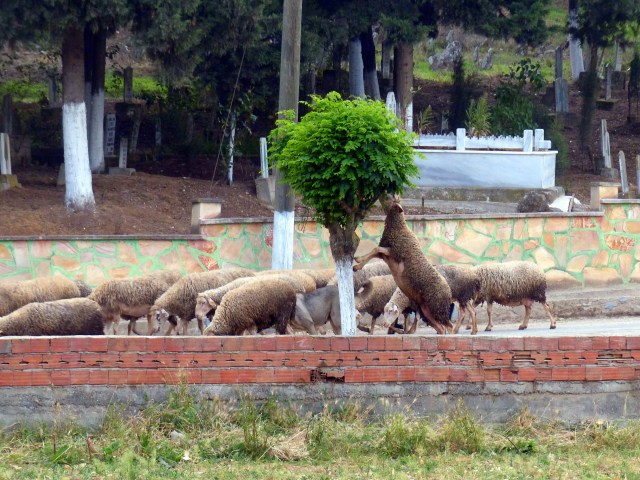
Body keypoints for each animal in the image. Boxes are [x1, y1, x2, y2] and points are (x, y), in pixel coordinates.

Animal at [353, 199, 453, 334]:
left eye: (393, 203)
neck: (399, 228)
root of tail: (449, 291)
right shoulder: (386, 254)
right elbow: (374, 251)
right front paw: (358, 262)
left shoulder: (394, 252)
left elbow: (375, 249)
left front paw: (357, 264)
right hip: (426, 310)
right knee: (441, 328)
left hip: (437, 308)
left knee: (449, 327)